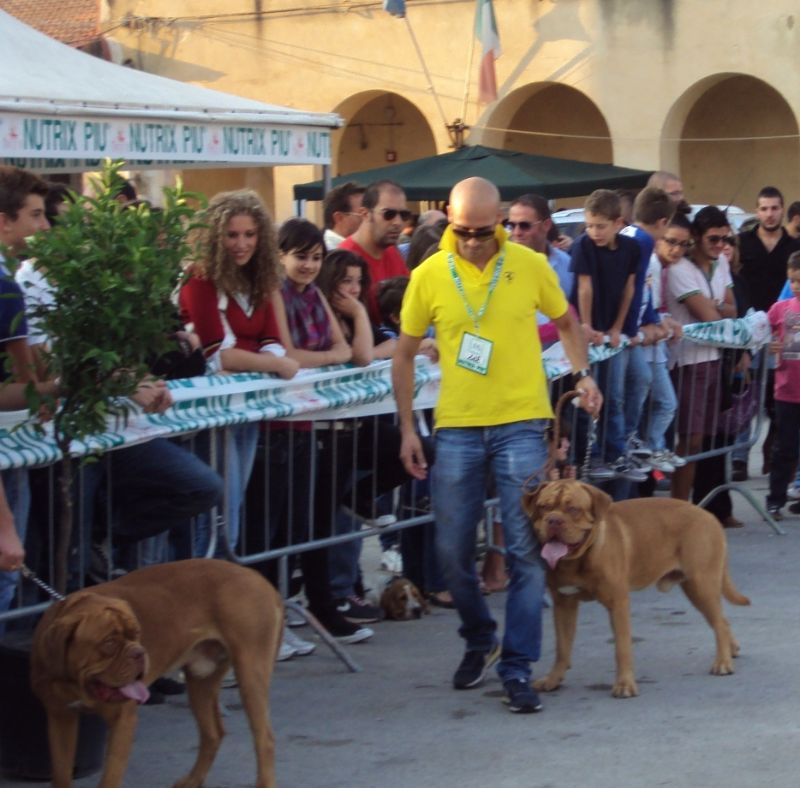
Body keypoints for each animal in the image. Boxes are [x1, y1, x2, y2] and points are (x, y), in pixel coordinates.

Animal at [29, 556, 282, 788]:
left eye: (136, 633)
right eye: (109, 643)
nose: (139, 652)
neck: (73, 683)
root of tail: (260, 579)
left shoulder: (123, 721)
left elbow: (110, 777)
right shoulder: (60, 717)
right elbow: (61, 773)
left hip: (250, 675)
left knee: (265, 739)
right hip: (201, 683)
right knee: (212, 734)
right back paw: (192, 780)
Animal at [520, 484, 752, 700]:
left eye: (573, 509)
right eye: (543, 507)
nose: (553, 520)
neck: (578, 559)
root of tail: (708, 515)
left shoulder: (618, 603)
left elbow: (622, 648)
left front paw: (624, 685)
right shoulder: (563, 603)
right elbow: (562, 647)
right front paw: (552, 679)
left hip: (701, 584)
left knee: (719, 622)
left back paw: (722, 662)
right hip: (697, 587)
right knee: (722, 620)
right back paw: (731, 650)